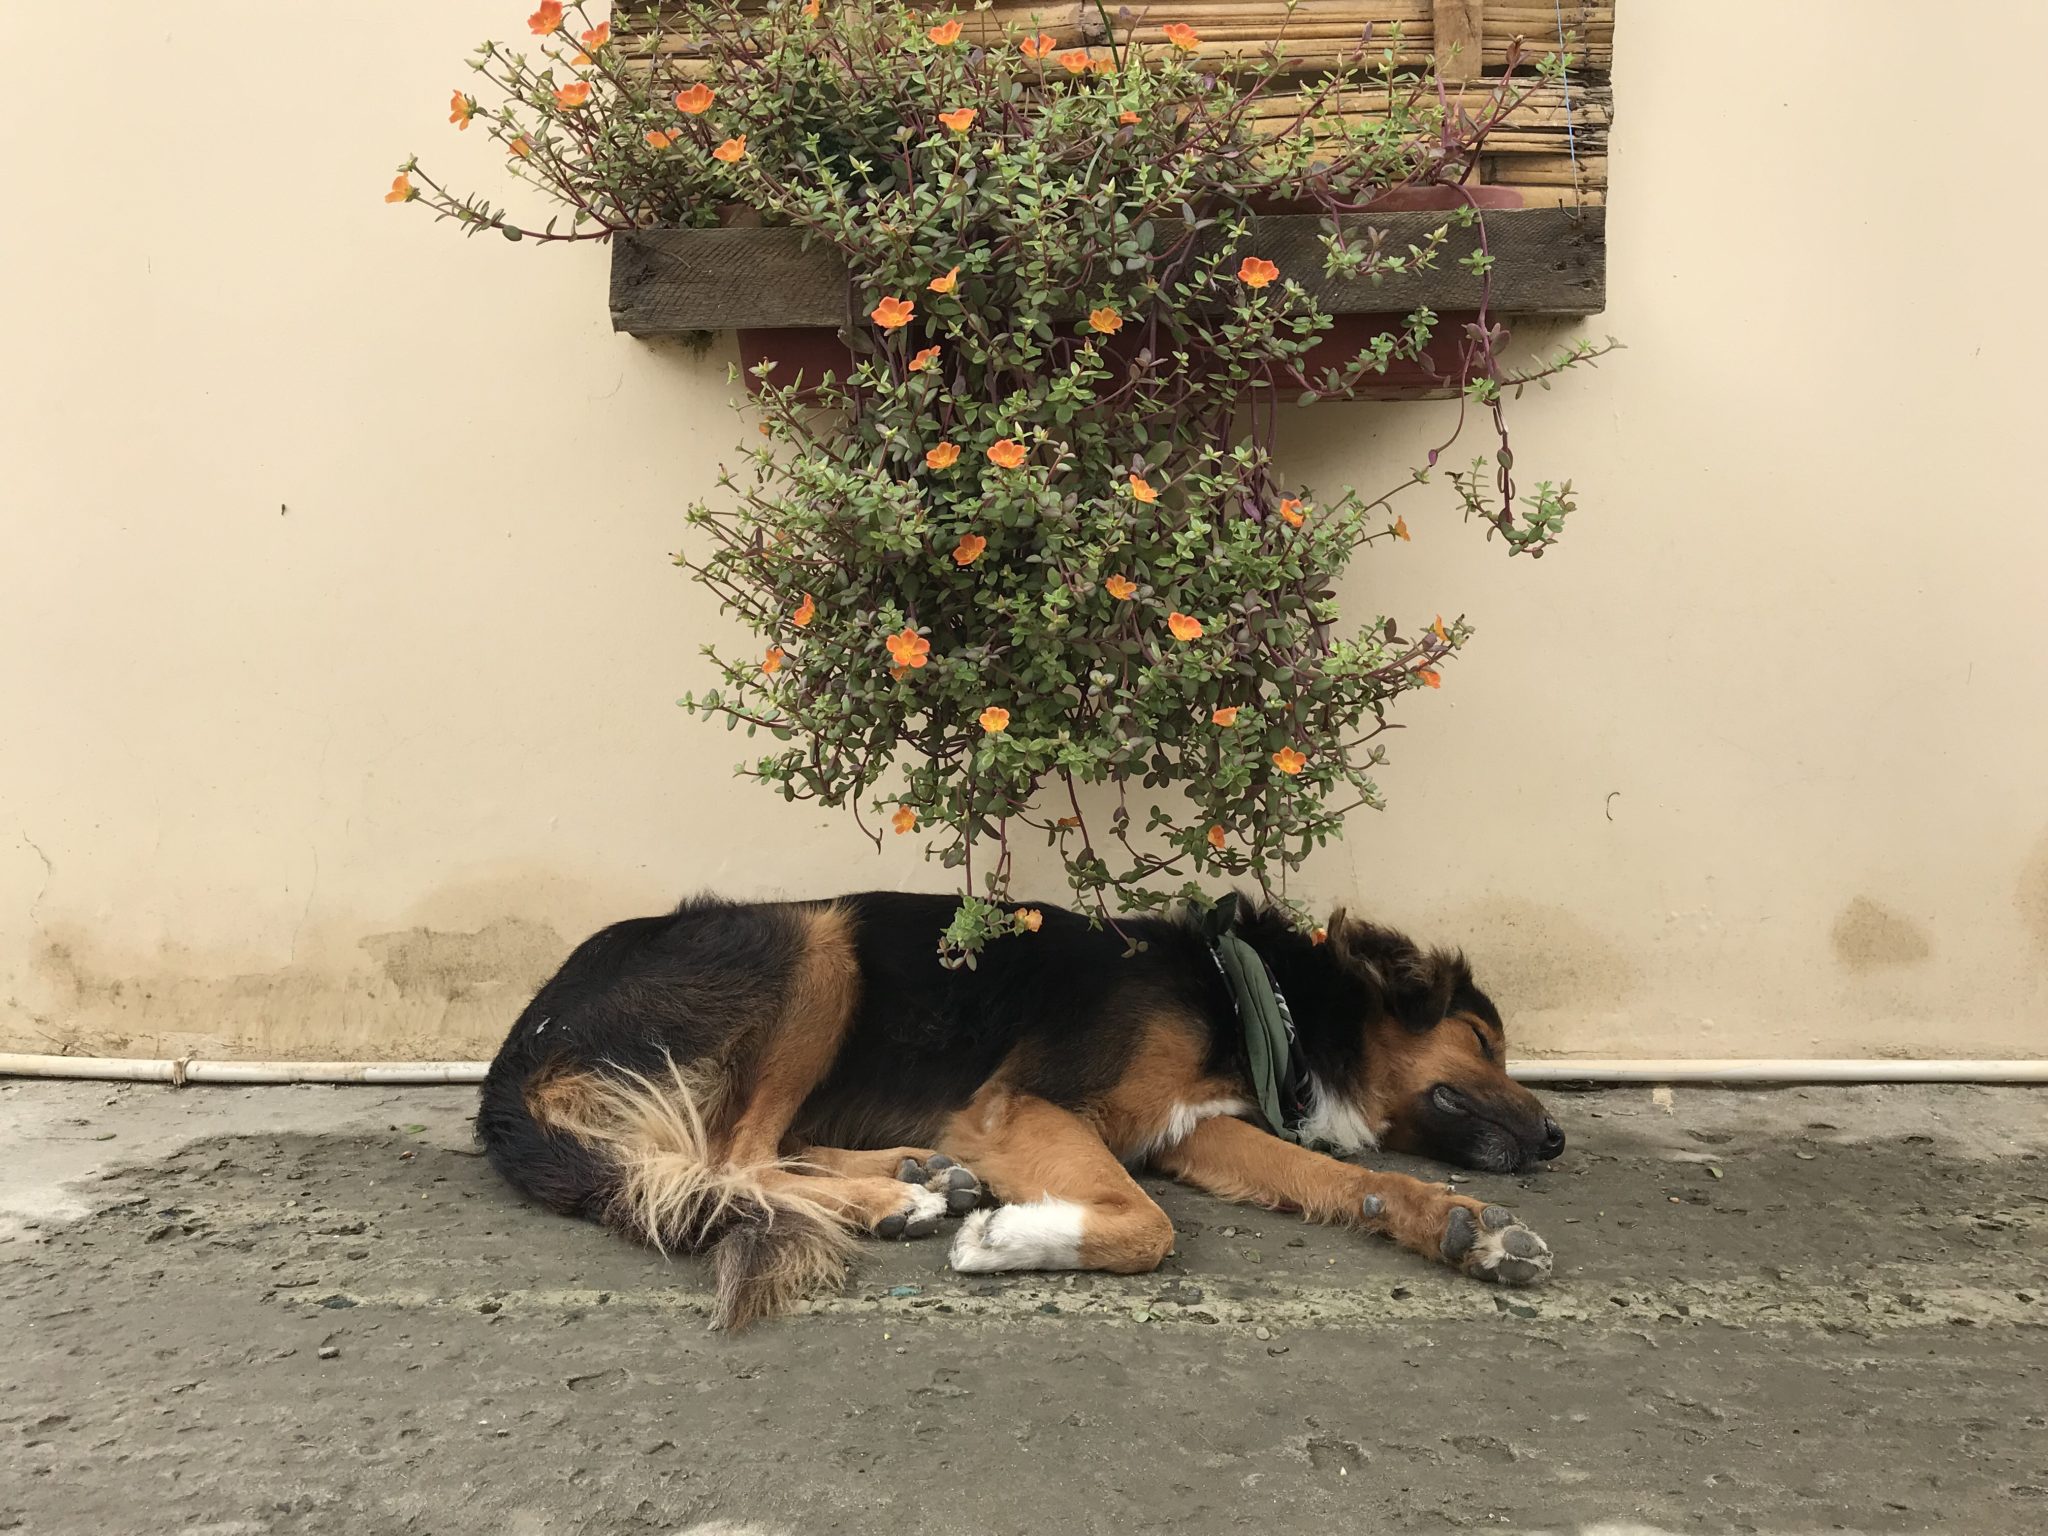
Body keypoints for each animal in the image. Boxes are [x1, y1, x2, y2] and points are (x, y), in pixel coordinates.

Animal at [483, 897, 1564, 1327]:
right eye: (1482, 1041)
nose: (1556, 1137)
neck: (1247, 994)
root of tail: (519, 1045)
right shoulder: (1019, 1104)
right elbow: (1150, 1225)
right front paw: (1014, 1240)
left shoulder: (1191, 1127)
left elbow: (1345, 1178)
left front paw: (1457, 1225)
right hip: (813, 940)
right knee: (733, 1155)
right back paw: (897, 1199)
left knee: (755, 1147)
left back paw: (911, 1172)